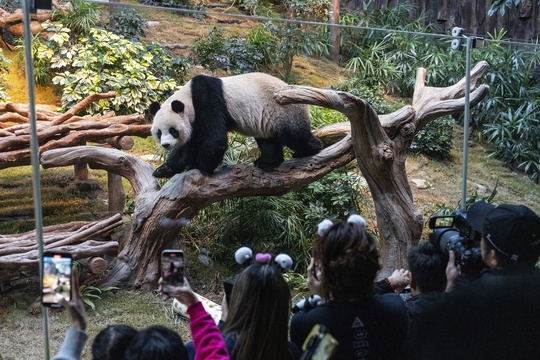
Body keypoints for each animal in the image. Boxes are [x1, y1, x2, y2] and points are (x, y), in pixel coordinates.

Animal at [149, 72, 320, 177]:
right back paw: (267, 162)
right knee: (268, 141)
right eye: (159, 132)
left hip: (284, 111)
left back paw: (309, 150)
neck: (188, 97)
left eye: (173, 131)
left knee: (294, 136)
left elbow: (215, 138)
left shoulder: (208, 99)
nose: (165, 145)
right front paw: (164, 169)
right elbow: (189, 145)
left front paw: (199, 166)